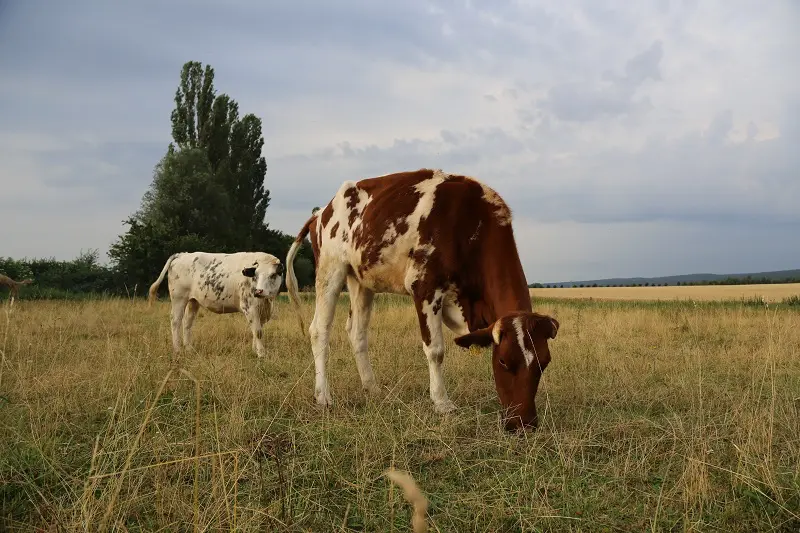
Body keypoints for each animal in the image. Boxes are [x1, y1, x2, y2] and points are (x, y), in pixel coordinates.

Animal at [148, 250, 284, 358]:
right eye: (255, 275)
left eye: (273, 275)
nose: (258, 291)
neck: (267, 302)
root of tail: (182, 254)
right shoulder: (249, 307)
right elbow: (258, 332)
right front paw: (261, 354)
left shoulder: (261, 312)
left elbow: (256, 331)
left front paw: (254, 350)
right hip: (179, 298)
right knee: (176, 321)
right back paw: (177, 350)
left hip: (193, 301)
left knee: (187, 323)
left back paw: (189, 349)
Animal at [284, 168, 560, 430]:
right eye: (503, 361)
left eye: (544, 363)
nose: (524, 423)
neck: (468, 222)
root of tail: (322, 211)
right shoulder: (425, 287)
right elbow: (436, 350)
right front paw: (441, 402)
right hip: (330, 269)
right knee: (319, 330)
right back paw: (323, 397)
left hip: (361, 280)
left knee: (357, 332)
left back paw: (372, 388)